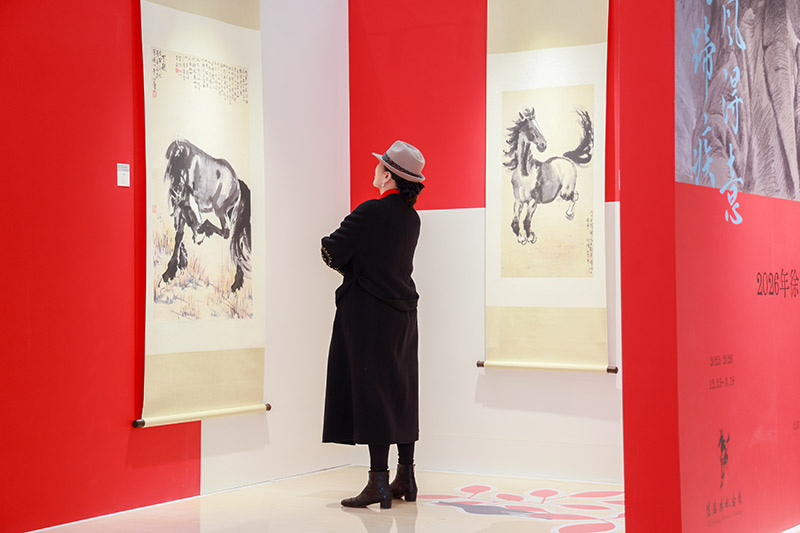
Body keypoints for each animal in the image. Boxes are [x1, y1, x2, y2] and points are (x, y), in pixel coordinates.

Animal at [161, 139, 251, 292]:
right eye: (170, 170)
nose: (176, 195)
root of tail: (237, 182)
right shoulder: (180, 212)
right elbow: (179, 236)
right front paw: (174, 268)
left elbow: (181, 234)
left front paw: (172, 269)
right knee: (235, 241)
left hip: (221, 212)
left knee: (228, 234)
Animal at [503, 106, 593, 245]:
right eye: (529, 127)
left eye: (537, 124)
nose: (543, 145)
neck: (525, 175)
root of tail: (566, 158)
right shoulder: (518, 201)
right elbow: (515, 223)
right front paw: (521, 238)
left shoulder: (533, 202)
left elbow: (526, 221)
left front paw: (531, 237)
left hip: (566, 191)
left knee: (575, 196)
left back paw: (569, 214)